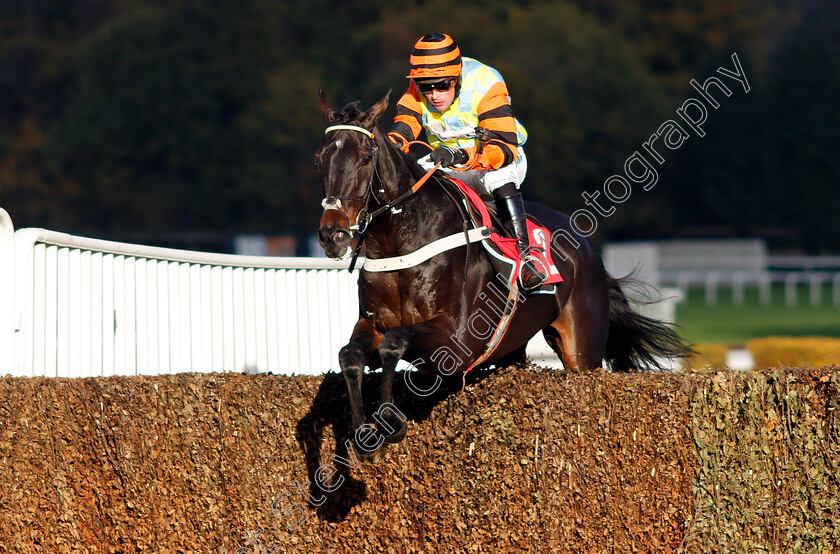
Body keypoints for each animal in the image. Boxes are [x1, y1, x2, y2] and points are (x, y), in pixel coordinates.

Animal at [316, 90, 696, 460]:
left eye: (365, 158)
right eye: (320, 158)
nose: (333, 234)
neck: (402, 241)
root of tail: (588, 248)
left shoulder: (456, 344)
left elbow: (394, 343)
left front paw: (390, 421)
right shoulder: (372, 323)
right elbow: (350, 357)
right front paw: (365, 433)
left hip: (581, 348)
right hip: (514, 342)